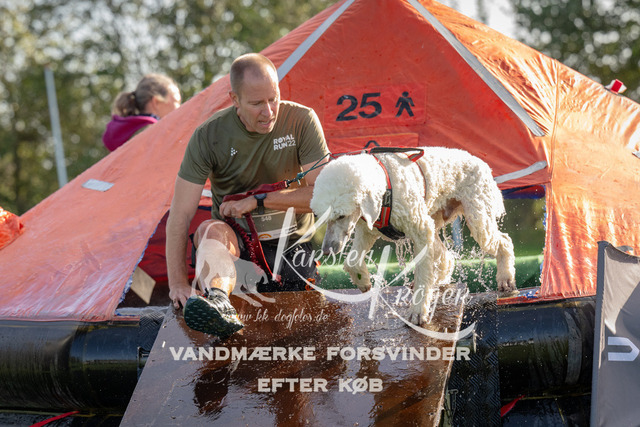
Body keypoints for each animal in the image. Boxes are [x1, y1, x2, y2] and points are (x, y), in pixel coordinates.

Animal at [310, 147, 516, 325]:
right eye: (323, 218)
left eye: (341, 215)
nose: (326, 251)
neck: (385, 184)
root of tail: (483, 164)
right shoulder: (367, 229)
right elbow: (352, 261)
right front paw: (364, 282)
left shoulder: (420, 229)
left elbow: (423, 277)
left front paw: (417, 313)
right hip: (435, 218)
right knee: (446, 258)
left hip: (477, 218)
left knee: (504, 241)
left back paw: (506, 278)